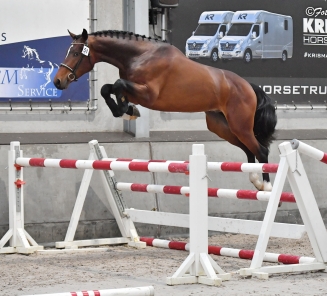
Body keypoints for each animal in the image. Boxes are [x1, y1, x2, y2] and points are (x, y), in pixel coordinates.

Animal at [53, 28, 276, 191]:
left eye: (75, 53)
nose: (58, 81)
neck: (140, 55)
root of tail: (249, 86)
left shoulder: (148, 94)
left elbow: (116, 85)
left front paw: (127, 109)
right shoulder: (136, 91)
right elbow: (108, 88)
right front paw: (127, 110)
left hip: (240, 125)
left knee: (261, 150)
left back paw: (266, 185)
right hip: (221, 126)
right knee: (248, 149)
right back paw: (255, 179)